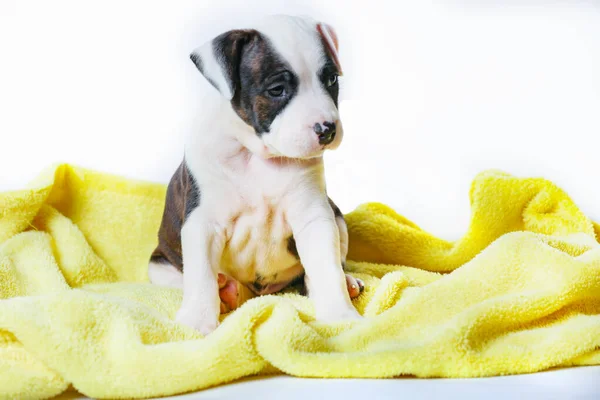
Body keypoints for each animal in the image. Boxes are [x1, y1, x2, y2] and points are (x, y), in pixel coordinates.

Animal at [149, 14, 366, 334]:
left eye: (331, 80)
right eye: (276, 90)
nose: (327, 129)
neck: (258, 155)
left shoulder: (314, 216)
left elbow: (326, 268)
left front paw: (340, 315)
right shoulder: (203, 223)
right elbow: (200, 277)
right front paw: (196, 322)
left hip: (337, 216)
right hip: (159, 264)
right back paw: (227, 291)